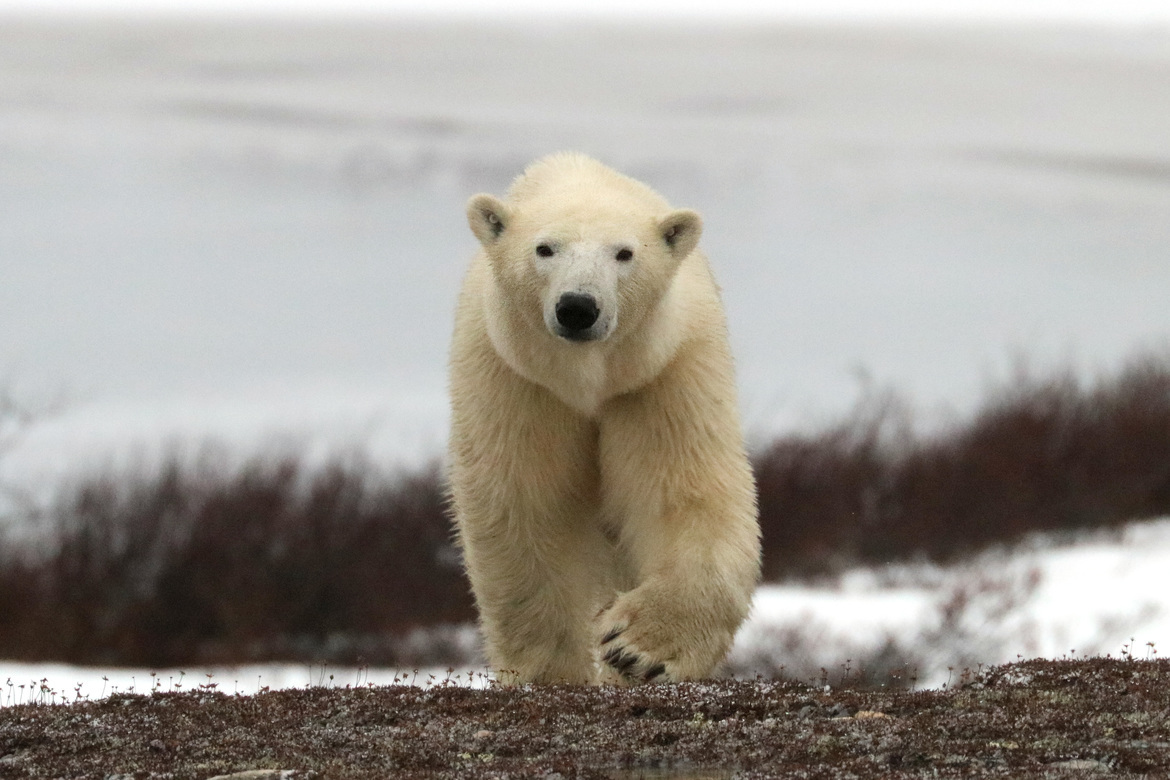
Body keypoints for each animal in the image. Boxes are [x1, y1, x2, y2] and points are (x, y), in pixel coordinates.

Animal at [448, 152, 760, 685]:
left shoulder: (659, 376)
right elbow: (526, 505)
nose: (578, 307)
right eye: (544, 248)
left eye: (624, 253)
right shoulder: (519, 381)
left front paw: (635, 648)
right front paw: (551, 671)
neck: (589, 381)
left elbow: (684, 493)